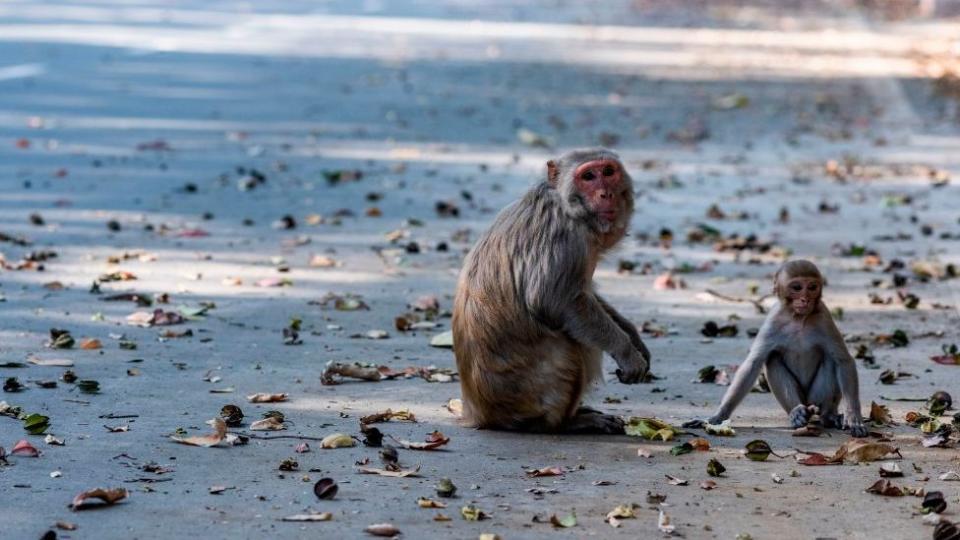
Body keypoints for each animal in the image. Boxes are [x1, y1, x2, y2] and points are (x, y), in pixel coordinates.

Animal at [452, 148, 648, 434]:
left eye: (608, 172)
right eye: (588, 176)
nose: (606, 193)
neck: (568, 205)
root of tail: (480, 414)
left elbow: (583, 292)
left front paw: (633, 335)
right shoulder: (563, 233)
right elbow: (553, 299)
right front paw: (625, 351)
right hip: (522, 397)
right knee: (576, 345)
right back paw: (567, 423)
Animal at [704, 260, 872, 436]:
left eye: (812, 287)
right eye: (797, 287)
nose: (805, 299)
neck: (798, 318)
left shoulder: (824, 318)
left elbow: (843, 360)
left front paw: (853, 416)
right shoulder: (773, 320)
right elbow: (753, 364)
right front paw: (719, 416)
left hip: (815, 397)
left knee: (830, 361)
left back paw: (828, 416)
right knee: (772, 358)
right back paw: (797, 414)